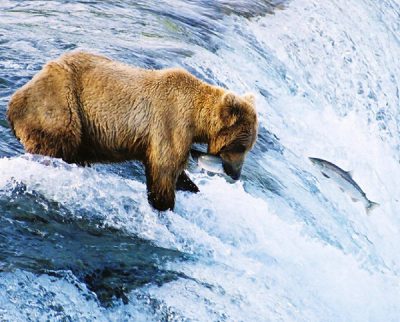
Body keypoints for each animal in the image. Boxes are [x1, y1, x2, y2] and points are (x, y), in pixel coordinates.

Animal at [7, 51, 258, 211]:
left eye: (247, 148)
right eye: (241, 147)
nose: (236, 174)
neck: (197, 119)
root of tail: (14, 101)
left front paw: (191, 186)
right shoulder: (170, 122)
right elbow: (164, 169)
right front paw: (164, 203)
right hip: (62, 106)